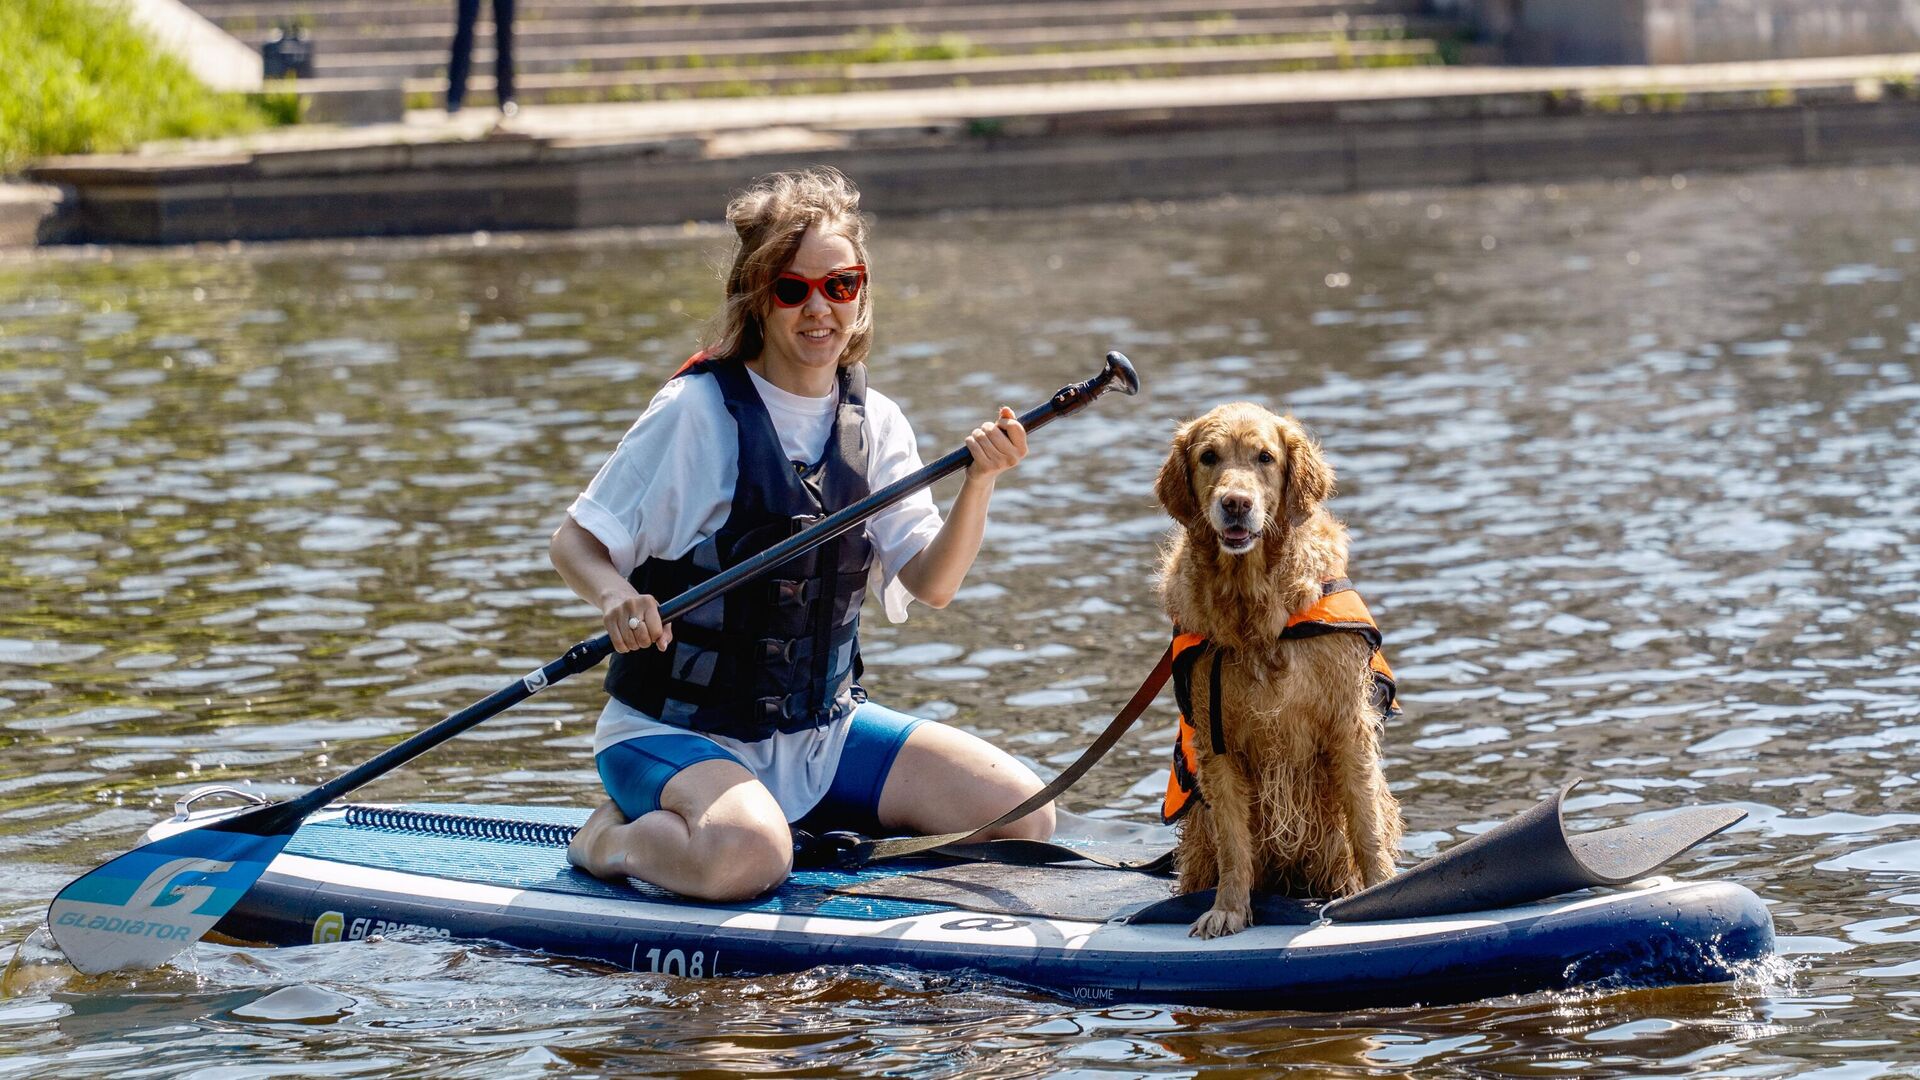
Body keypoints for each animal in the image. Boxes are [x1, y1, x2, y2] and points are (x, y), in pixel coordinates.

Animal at [1144, 401, 1405, 933]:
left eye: (1264, 457)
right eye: (1208, 457)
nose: (1235, 503)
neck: (1256, 613)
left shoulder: (1347, 724)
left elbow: (1365, 825)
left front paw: (1380, 891)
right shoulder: (1217, 740)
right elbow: (1233, 844)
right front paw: (1226, 909)